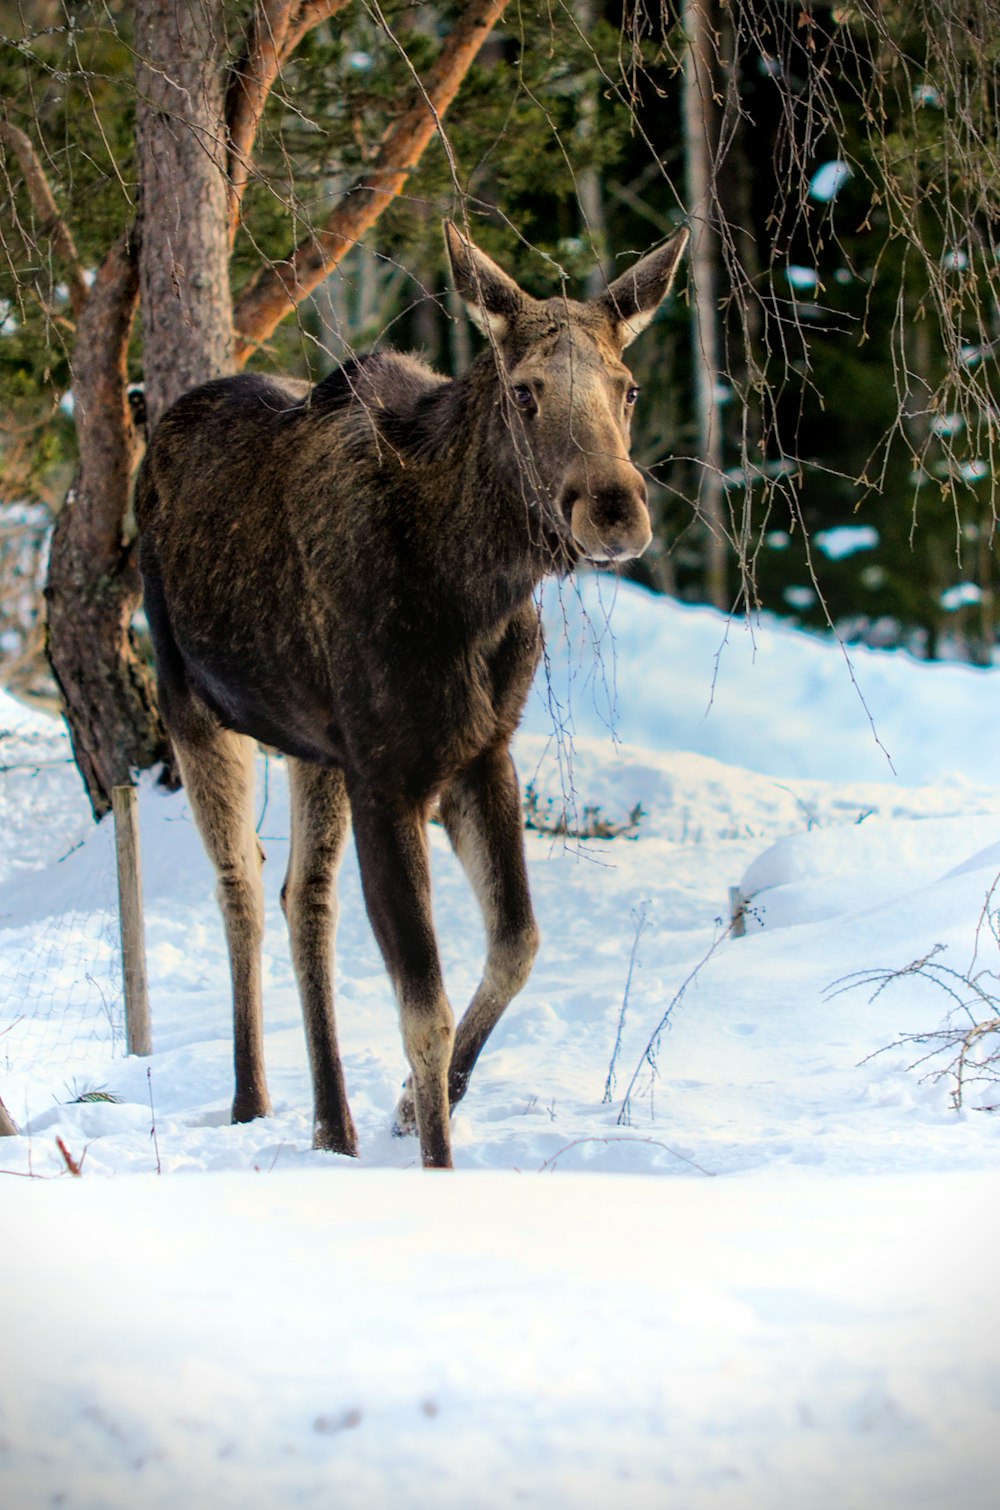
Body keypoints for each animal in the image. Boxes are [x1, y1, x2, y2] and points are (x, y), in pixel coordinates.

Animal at [137, 220, 688, 1165]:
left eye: (628, 388)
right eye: (525, 392)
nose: (615, 507)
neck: (477, 589)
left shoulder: (479, 754)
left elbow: (518, 944)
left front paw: (408, 1108)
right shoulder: (389, 776)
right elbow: (421, 1011)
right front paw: (435, 1158)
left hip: (314, 748)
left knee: (304, 898)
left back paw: (335, 1123)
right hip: (191, 704)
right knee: (240, 888)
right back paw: (252, 1100)